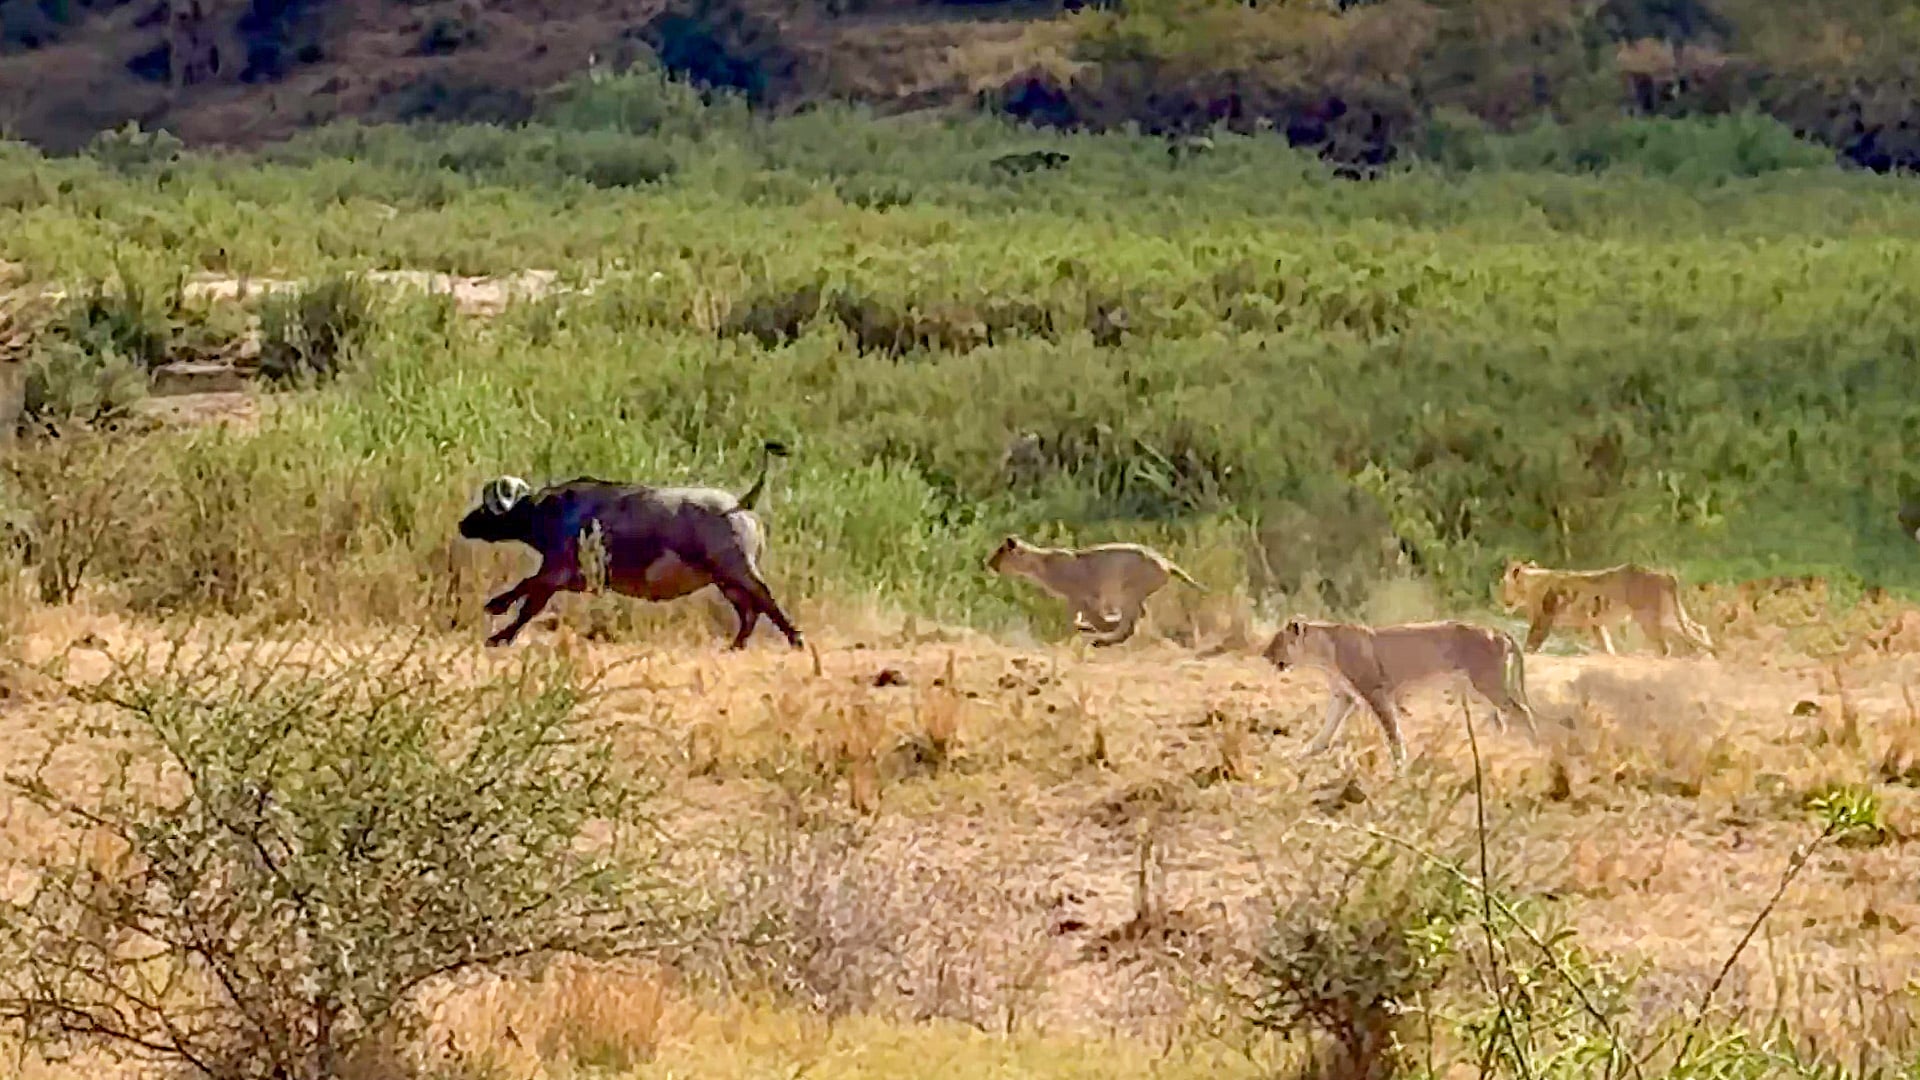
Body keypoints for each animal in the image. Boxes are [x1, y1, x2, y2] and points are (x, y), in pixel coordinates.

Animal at [986, 535, 1203, 646]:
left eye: (1000, 552)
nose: (988, 563)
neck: (1039, 564)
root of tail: (1166, 562)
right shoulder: (1075, 600)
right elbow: (1077, 620)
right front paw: (1088, 627)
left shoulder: (1083, 596)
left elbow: (1092, 618)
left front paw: (1100, 625)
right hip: (1131, 594)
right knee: (1138, 616)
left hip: (1127, 591)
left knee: (1132, 621)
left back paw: (1104, 638)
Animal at [1263, 617, 1537, 768]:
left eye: (1277, 640)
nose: (1264, 655)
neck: (1323, 652)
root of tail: (1497, 630)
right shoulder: (1344, 696)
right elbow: (1325, 732)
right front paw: (1299, 754)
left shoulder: (1375, 691)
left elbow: (1392, 732)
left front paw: (1399, 767)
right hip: (1478, 690)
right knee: (1502, 719)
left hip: (1487, 683)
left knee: (1521, 711)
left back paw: (1535, 751)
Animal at [1498, 559, 1714, 657]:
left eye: (1503, 583)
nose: (1501, 600)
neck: (1531, 583)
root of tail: (1665, 574)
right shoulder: (1596, 623)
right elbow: (1606, 645)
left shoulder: (1543, 620)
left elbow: (1531, 643)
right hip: (1670, 615)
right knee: (1699, 628)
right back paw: (1707, 656)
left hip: (1651, 618)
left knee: (1666, 646)